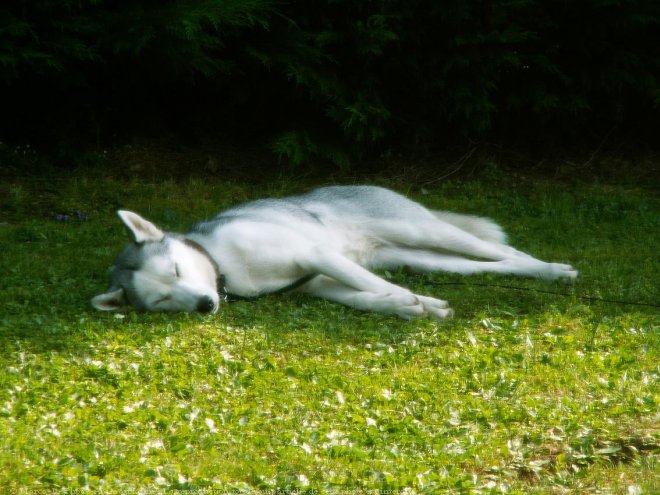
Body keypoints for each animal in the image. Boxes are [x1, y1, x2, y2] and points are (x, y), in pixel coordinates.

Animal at [90, 184, 576, 320]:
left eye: (175, 269)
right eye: (163, 300)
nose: (205, 305)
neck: (224, 266)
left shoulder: (315, 257)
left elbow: (373, 285)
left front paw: (415, 301)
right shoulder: (320, 285)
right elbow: (368, 295)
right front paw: (413, 306)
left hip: (423, 230)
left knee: (501, 248)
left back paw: (554, 268)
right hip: (424, 257)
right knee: (497, 263)